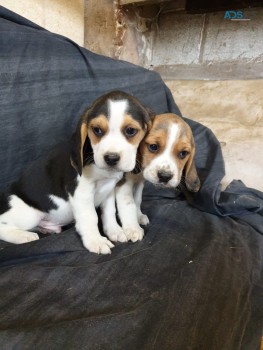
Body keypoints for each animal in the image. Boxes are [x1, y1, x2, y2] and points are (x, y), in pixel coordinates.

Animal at [0, 90, 152, 254]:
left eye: (130, 131)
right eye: (97, 130)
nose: (111, 158)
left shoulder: (109, 190)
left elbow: (109, 212)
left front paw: (114, 231)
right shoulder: (81, 193)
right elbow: (91, 217)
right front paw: (95, 240)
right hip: (28, 214)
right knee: (3, 225)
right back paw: (23, 236)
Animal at [115, 113, 200, 242]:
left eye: (183, 153)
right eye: (153, 146)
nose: (165, 176)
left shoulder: (139, 182)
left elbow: (137, 200)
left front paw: (138, 215)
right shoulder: (124, 183)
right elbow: (128, 203)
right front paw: (133, 228)